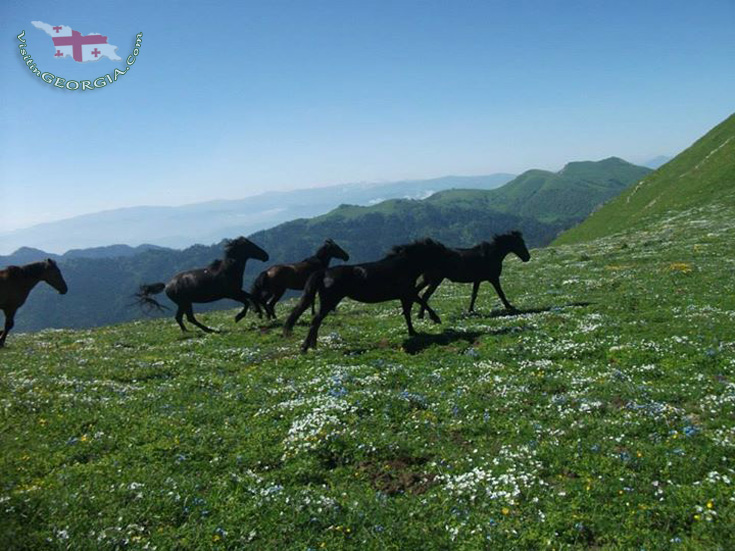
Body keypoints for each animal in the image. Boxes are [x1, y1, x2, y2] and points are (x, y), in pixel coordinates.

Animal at [135, 236, 268, 332]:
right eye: (249, 245)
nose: (265, 256)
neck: (228, 270)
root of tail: (167, 285)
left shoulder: (237, 291)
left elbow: (251, 297)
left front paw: (259, 312)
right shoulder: (231, 294)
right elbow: (246, 302)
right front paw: (238, 317)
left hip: (184, 303)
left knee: (182, 317)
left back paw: (191, 331)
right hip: (184, 303)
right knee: (188, 318)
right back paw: (208, 330)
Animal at [284, 238, 458, 354]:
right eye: (441, 251)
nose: (453, 258)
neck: (404, 266)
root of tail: (324, 272)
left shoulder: (404, 295)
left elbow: (408, 313)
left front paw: (413, 332)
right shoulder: (407, 292)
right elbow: (422, 301)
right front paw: (435, 319)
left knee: (316, 321)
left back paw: (312, 345)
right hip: (329, 301)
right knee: (315, 321)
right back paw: (305, 347)